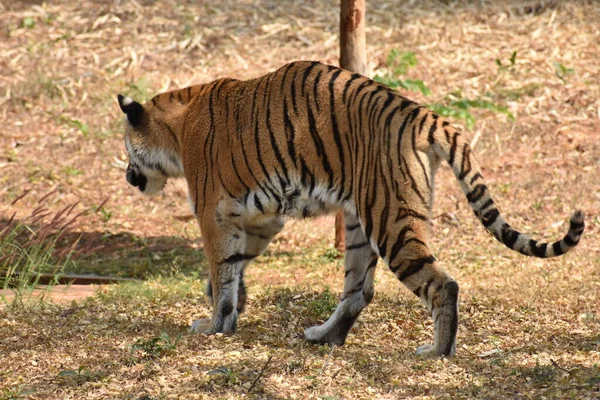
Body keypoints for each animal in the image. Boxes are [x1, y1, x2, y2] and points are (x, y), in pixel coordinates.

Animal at [116, 59, 580, 356]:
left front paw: (214, 324)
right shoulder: (260, 218)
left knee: (442, 284)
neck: (176, 128)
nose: (127, 176)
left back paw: (437, 352)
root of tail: (422, 114)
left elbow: (222, 268)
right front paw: (230, 306)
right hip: (362, 222)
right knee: (360, 290)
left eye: (125, 147)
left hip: (390, 219)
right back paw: (325, 336)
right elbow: (236, 267)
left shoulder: (213, 213)